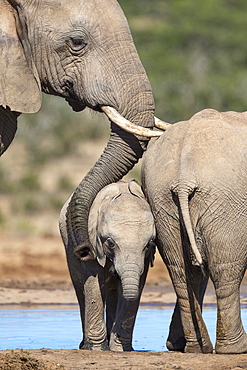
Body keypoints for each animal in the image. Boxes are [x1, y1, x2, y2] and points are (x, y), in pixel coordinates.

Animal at [59, 181, 155, 352]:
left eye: (149, 244)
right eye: (110, 243)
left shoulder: (144, 259)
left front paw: (120, 349)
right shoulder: (92, 241)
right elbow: (93, 284)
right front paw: (98, 349)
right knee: (81, 290)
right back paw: (85, 346)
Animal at [142, 108, 247, 354]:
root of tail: (184, 176)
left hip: (161, 199)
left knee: (181, 271)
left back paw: (196, 347)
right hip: (227, 200)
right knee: (225, 269)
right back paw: (235, 348)